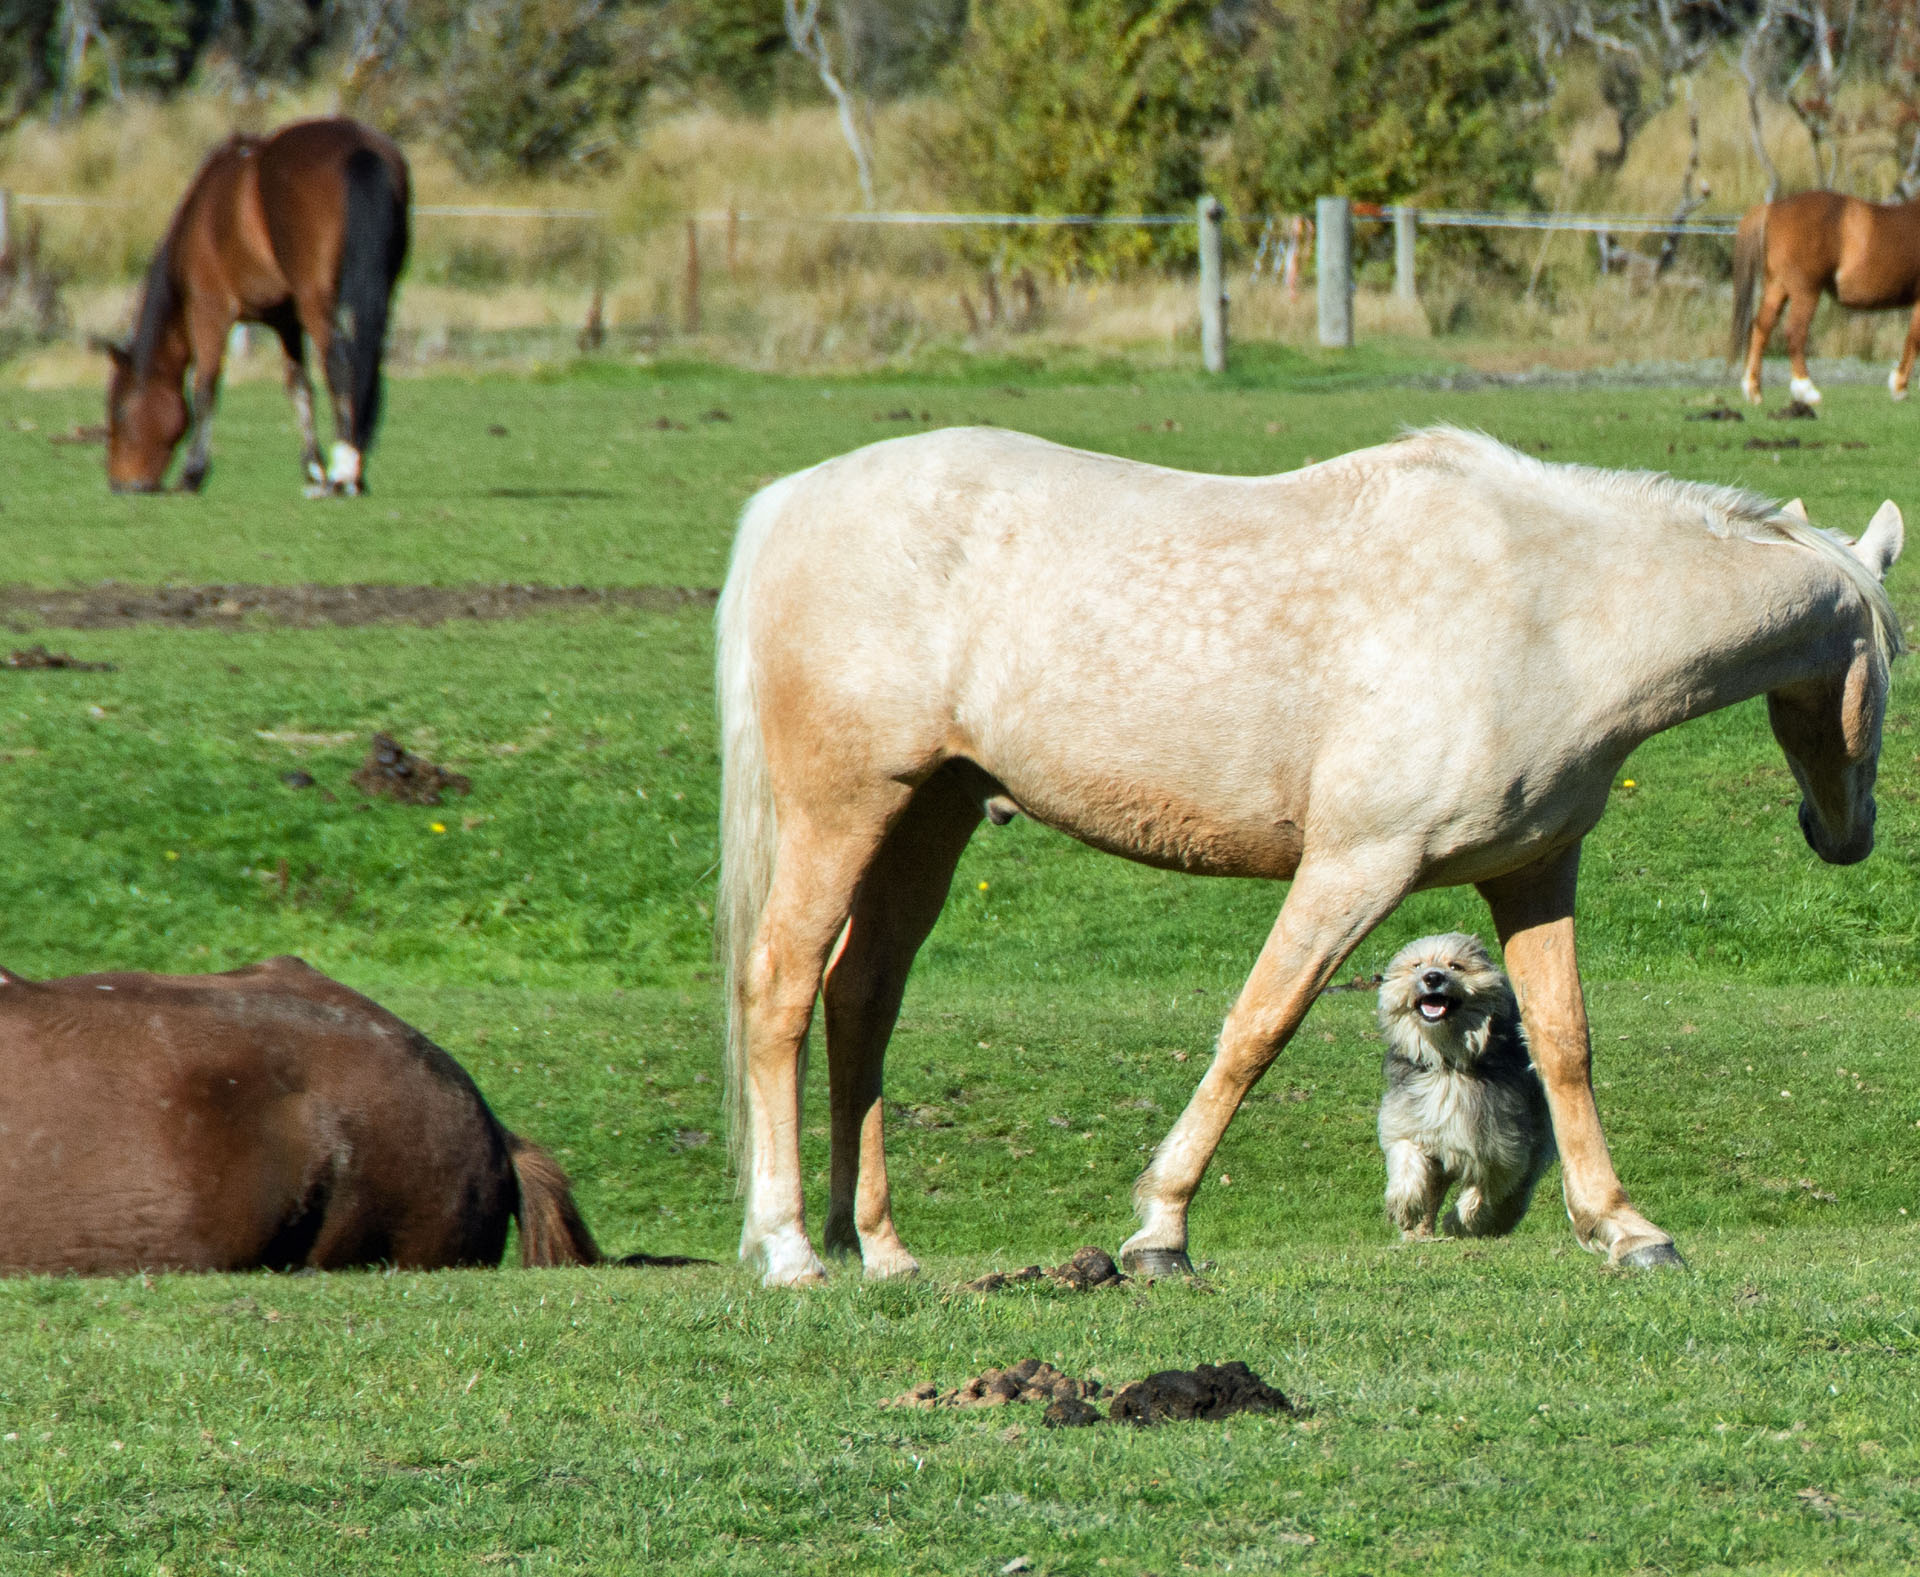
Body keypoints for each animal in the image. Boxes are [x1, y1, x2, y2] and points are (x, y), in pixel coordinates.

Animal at [101, 117, 409, 497]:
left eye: (120, 410)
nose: (120, 483)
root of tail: (356, 145)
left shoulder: (209, 311)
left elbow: (205, 388)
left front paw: (192, 474)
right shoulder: (286, 323)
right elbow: (299, 387)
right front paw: (313, 469)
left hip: (317, 302)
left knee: (339, 366)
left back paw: (344, 471)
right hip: (378, 294)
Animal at [716, 425, 1903, 1287]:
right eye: (1894, 662)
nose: (1844, 835)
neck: (1550, 604)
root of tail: (791, 500)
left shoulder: (1533, 871)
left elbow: (1565, 1043)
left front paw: (1623, 1226)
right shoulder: (1355, 867)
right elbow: (1258, 1027)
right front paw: (1160, 1228)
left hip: (929, 815)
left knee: (862, 1000)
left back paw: (879, 1246)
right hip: (845, 809)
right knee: (781, 986)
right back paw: (790, 1248)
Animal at [1731, 190, 1920, 406]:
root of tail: (1772, 209)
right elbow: (1914, 338)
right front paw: (1900, 387)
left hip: (1777, 288)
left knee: (1762, 328)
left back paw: (1753, 389)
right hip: (1805, 293)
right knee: (1795, 332)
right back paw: (1806, 390)